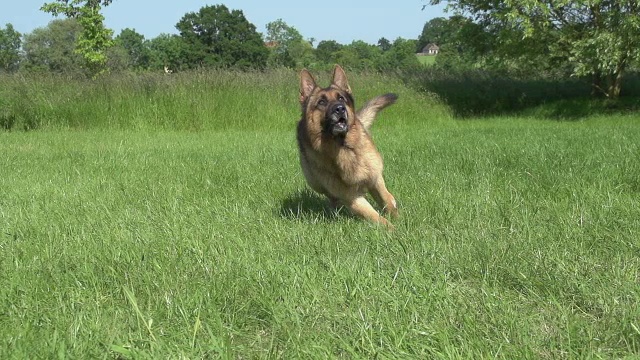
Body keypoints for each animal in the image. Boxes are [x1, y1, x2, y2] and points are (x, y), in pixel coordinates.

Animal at [298, 65, 398, 228]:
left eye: (341, 98)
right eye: (321, 102)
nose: (340, 108)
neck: (344, 148)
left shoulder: (375, 179)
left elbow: (386, 200)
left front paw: (398, 218)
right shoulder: (352, 197)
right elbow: (375, 217)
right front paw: (394, 229)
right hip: (315, 182)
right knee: (332, 198)